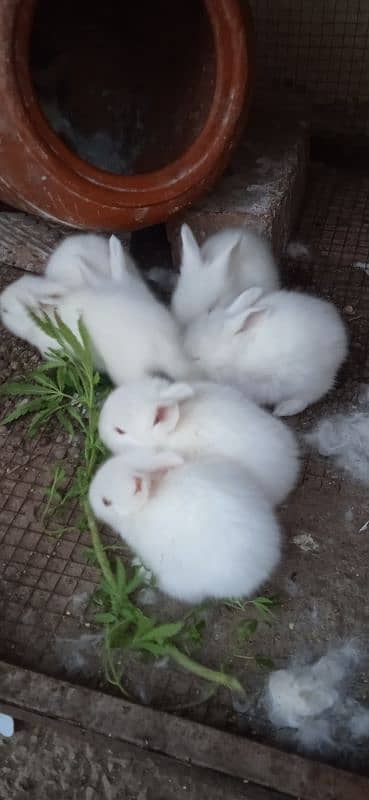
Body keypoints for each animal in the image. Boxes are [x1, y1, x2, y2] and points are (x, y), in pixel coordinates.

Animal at [184, 288, 348, 418]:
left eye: (196, 358)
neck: (236, 353)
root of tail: (340, 336)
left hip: (308, 380)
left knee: (312, 395)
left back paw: (284, 409)